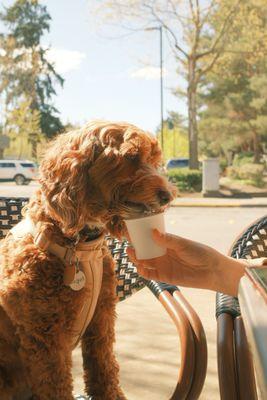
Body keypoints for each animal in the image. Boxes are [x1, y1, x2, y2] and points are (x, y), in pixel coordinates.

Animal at [0, 121, 175, 400]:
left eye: (152, 159)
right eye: (131, 157)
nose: (168, 195)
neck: (78, 246)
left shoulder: (101, 319)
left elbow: (103, 366)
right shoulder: (45, 337)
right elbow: (56, 384)